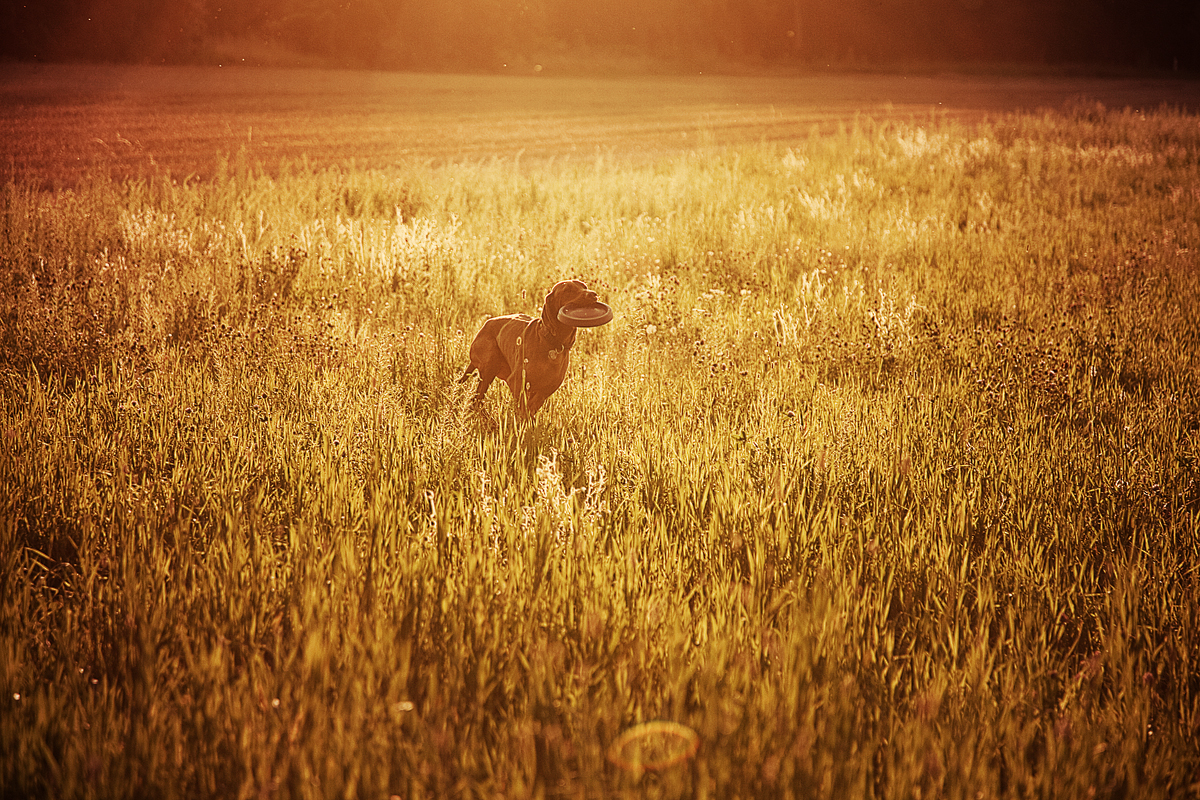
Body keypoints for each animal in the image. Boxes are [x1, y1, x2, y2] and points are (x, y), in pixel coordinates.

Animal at [458, 280, 600, 422]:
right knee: (477, 399)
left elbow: (533, 405)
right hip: (489, 365)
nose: (593, 294)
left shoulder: (547, 388)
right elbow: (523, 406)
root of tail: (485, 326)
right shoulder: (517, 381)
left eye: (584, 286)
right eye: (568, 290)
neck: (552, 343)